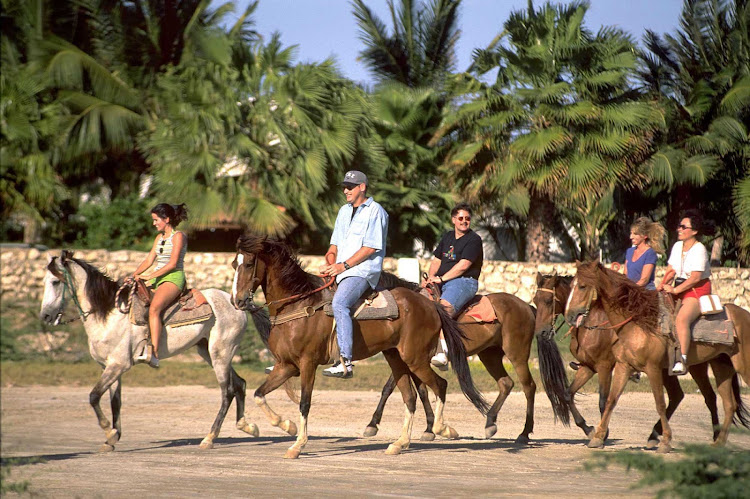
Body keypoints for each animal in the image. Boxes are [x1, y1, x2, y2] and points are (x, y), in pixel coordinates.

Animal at [40, 252, 258, 452]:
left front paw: (109, 433)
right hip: (210, 352)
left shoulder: (118, 365)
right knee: (239, 384)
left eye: (55, 282)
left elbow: (94, 396)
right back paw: (247, 427)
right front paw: (112, 439)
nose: (45, 316)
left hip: (220, 354)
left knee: (227, 392)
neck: (110, 314)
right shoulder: (109, 367)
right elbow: (115, 402)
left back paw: (209, 438)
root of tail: (235, 302)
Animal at [235, 235, 494, 460]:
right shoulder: (286, 365)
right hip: (396, 358)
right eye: (233, 264)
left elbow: (304, 403)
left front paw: (298, 445)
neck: (299, 303)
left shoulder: (307, 364)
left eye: (248, 264)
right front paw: (282, 425)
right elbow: (259, 395)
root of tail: (431, 305)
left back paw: (442, 429)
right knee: (410, 397)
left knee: (440, 385)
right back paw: (400, 443)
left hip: (415, 359)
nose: (238, 301)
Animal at [366, 282, 576, 446]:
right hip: (489, 354)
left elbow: (395, 388)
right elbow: (416, 390)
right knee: (506, 383)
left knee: (528, 387)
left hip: (517, 354)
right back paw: (490, 423)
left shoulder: (412, 358)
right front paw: (428, 427)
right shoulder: (411, 359)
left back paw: (524, 433)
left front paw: (373, 424)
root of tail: (526, 306)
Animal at [564, 262, 750, 454]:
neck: (637, 323)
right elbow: (609, 400)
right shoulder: (620, 366)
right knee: (727, 404)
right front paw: (597, 437)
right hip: (720, 368)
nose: (570, 315)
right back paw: (717, 442)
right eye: (571, 286)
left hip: (740, 367)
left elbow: (659, 403)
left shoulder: (645, 368)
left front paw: (666, 441)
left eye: (582, 286)